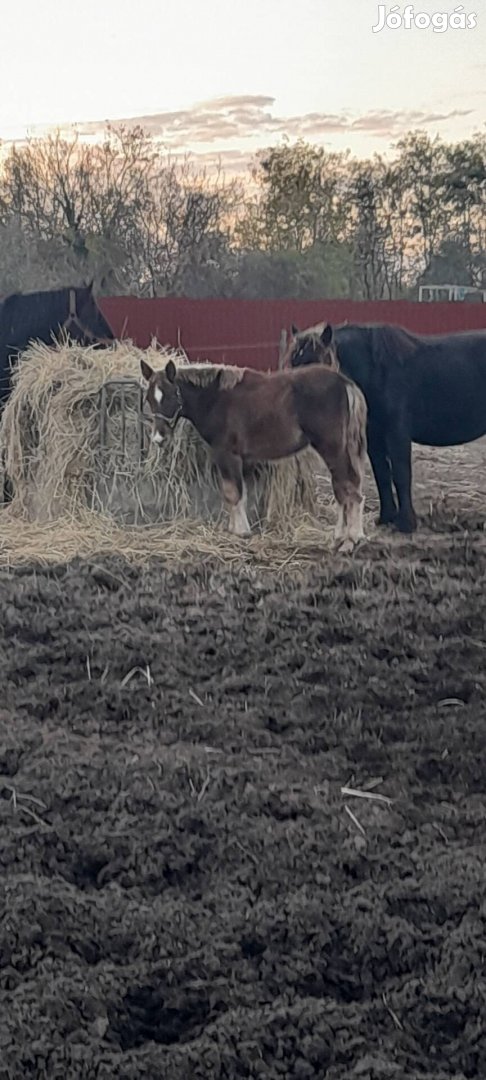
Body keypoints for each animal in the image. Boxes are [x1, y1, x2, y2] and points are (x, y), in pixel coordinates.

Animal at [140, 358, 369, 552]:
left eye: (171, 395)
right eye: (149, 398)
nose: (159, 438)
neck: (216, 398)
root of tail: (344, 382)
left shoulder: (228, 455)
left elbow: (233, 493)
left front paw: (241, 531)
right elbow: (236, 492)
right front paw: (235, 528)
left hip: (332, 449)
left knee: (348, 489)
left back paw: (350, 540)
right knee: (346, 488)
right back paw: (342, 537)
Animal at [287, 317, 486, 533]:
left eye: (318, 365)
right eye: (293, 363)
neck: (377, 371)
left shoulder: (397, 433)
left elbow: (401, 474)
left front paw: (406, 523)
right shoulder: (373, 435)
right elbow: (382, 474)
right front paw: (387, 517)